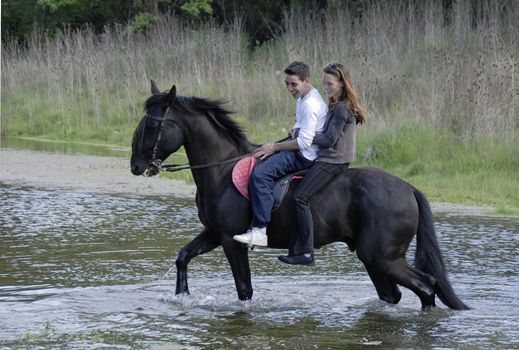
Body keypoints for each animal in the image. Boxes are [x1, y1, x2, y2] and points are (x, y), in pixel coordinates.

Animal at [131, 81, 472, 308]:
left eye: (153, 126)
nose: (136, 166)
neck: (222, 169)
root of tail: (409, 189)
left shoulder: (231, 240)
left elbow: (244, 289)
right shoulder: (214, 233)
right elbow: (182, 257)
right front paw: (182, 296)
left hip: (383, 256)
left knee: (426, 287)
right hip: (375, 258)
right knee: (396, 294)